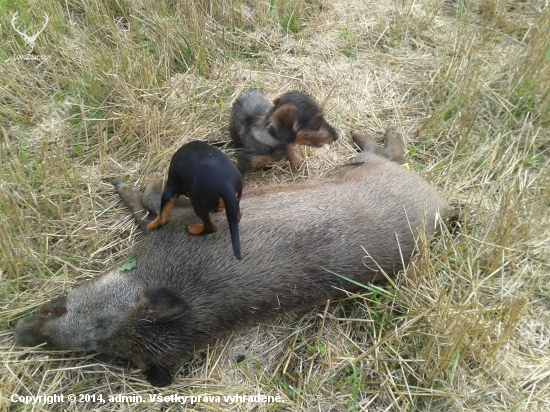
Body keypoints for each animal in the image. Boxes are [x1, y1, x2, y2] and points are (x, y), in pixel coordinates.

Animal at [14, 124, 452, 386]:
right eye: (102, 352)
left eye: (101, 332)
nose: (19, 334)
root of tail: (441, 205)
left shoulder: (175, 219)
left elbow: (148, 203)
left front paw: (125, 183)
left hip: (368, 168)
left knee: (388, 151)